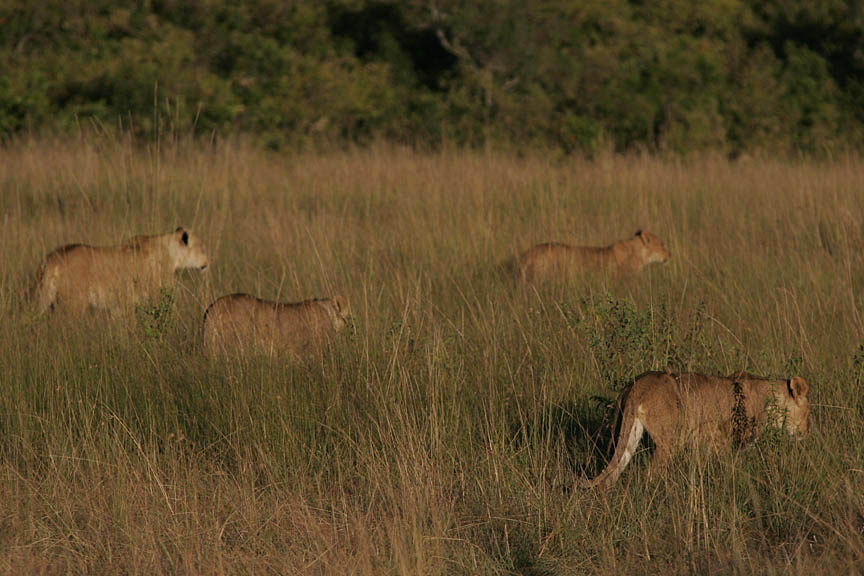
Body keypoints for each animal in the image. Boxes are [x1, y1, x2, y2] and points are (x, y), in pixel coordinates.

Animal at [33, 227, 209, 316]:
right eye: (201, 246)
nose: (208, 262)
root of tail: (51, 258)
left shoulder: (119, 305)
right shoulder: (155, 297)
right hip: (75, 304)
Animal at [578, 370, 810, 489]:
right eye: (808, 413)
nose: (806, 434)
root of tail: (636, 385)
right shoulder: (719, 437)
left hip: (630, 434)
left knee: (614, 472)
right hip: (671, 440)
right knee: (650, 473)